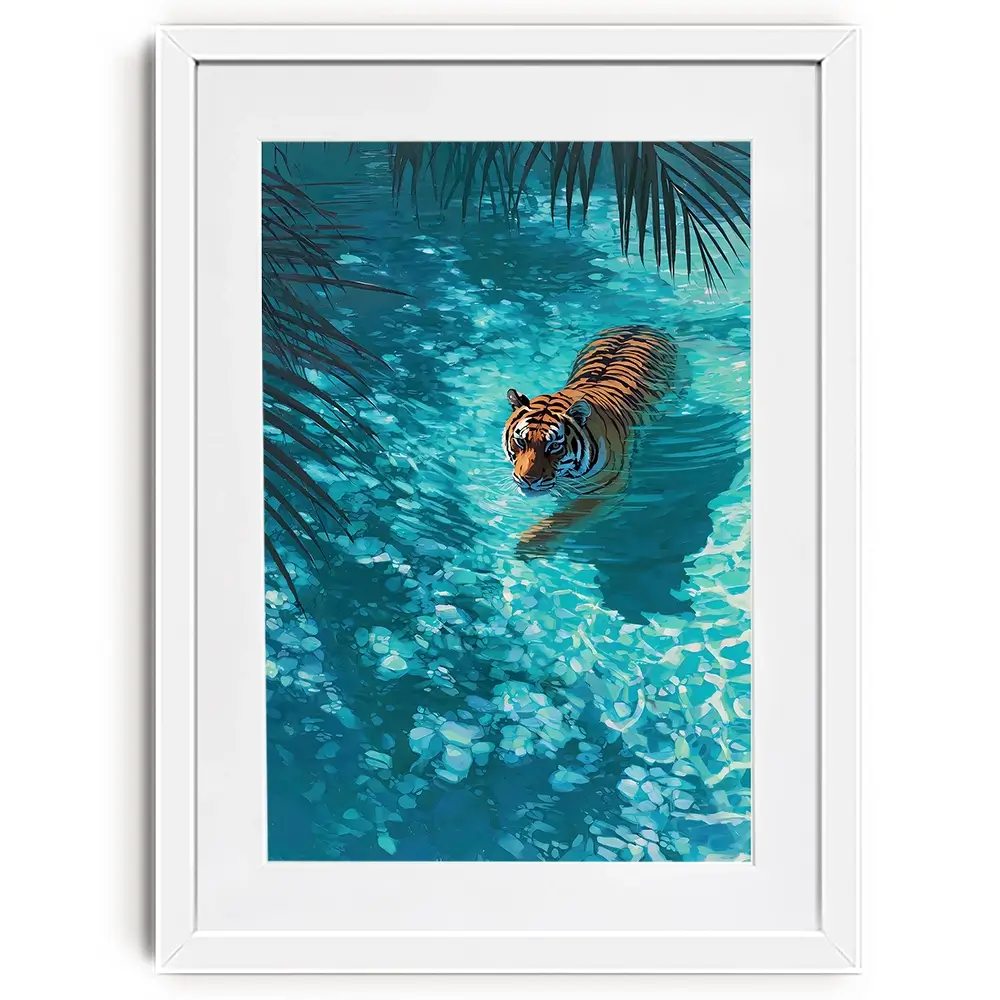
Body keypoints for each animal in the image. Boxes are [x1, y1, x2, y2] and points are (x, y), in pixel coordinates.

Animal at [502, 325, 677, 551]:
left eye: (554, 446)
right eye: (521, 441)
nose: (528, 480)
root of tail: (640, 326)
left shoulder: (605, 490)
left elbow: (562, 519)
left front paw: (528, 543)